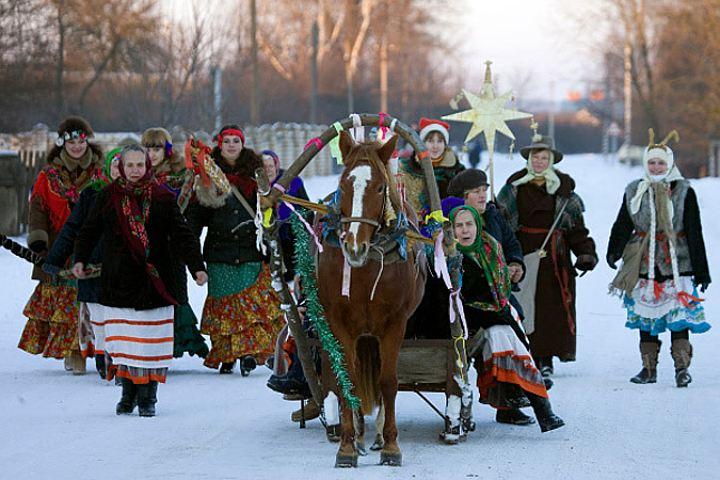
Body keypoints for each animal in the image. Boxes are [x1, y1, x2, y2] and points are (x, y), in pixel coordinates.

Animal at [318, 129, 424, 466]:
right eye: (343, 184)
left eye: (379, 187)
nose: (354, 246)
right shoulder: (339, 323)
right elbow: (348, 380)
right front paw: (347, 446)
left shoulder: (394, 324)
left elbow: (388, 382)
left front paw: (391, 445)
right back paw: (361, 435)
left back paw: (375, 435)